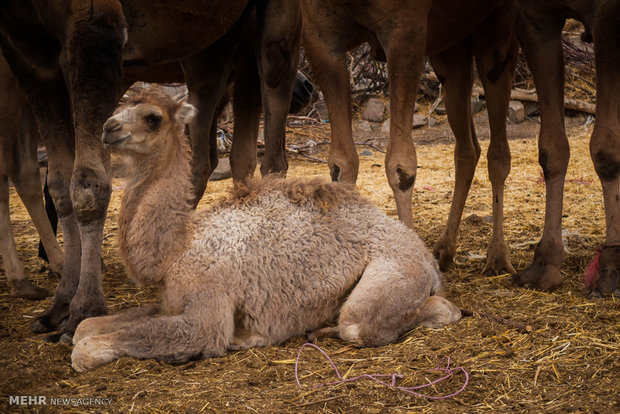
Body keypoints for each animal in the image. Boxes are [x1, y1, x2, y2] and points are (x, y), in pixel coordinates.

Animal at [70, 89, 462, 374]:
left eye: (153, 118)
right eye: (118, 106)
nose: (108, 128)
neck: (177, 248)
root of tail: (428, 260)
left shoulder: (207, 309)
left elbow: (88, 347)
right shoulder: (170, 302)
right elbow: (86, 326)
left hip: (395, 272)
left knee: (378, 321)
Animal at [300, 1, 520, 276]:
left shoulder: (405, 33)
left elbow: (401, 166)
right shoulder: (319, 36)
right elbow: (341, 163)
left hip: (497, 29)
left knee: (498, 151)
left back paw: (498, 256)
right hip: (451, 46)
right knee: (468, 148)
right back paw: (445, 250)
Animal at [512, 0, 620, 298]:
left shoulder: (609, 16)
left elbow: (606, 148)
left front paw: (611, 268)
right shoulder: (535, 18)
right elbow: (551, 147)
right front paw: (545, 262)